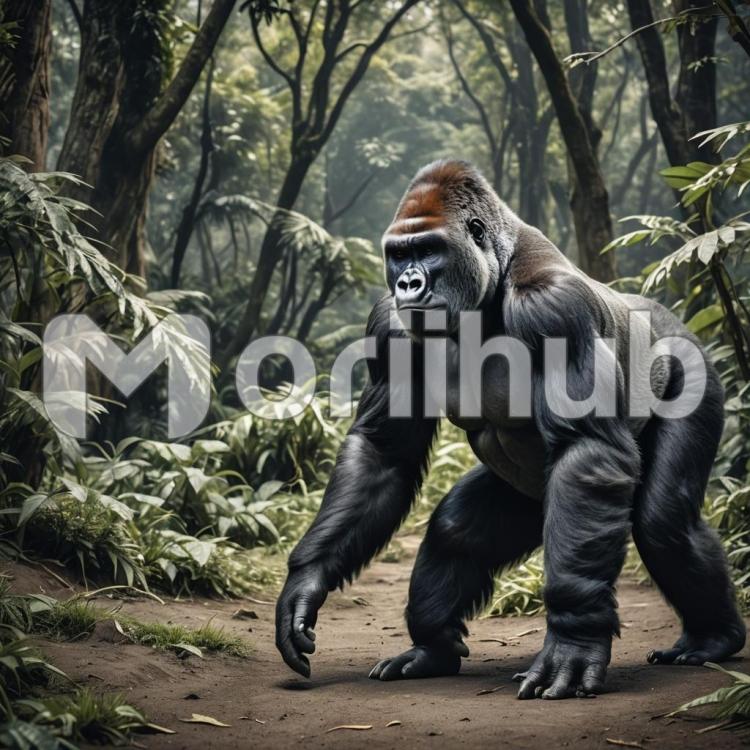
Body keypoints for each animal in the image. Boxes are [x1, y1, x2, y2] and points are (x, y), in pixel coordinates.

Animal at [275, 159, 745, 699]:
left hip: (695, 369)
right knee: (458, 530)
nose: (408, 284)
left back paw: (715, 637)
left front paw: (573, 642)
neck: (492, 278)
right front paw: (306, 583)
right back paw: (431, 649)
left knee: (663, 521)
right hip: (532, 498)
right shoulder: (388, 326)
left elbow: (586, 450)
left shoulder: (555, 309)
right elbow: (383, 452)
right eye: (399, 254)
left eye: (429, 249)